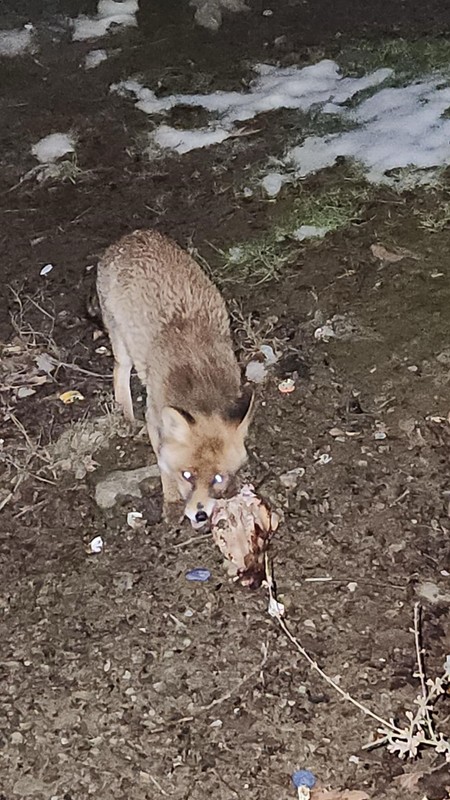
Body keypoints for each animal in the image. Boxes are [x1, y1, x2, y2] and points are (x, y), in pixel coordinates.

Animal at [95, 231, 255, 528]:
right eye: (187, 476)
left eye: (217, 478)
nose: (200, 515)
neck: (200, 387)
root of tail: (134, 234)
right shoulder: (155, 416)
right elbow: (162, 464)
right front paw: (171, 502)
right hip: (122, 344)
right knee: (119, 373)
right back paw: (126, 416)